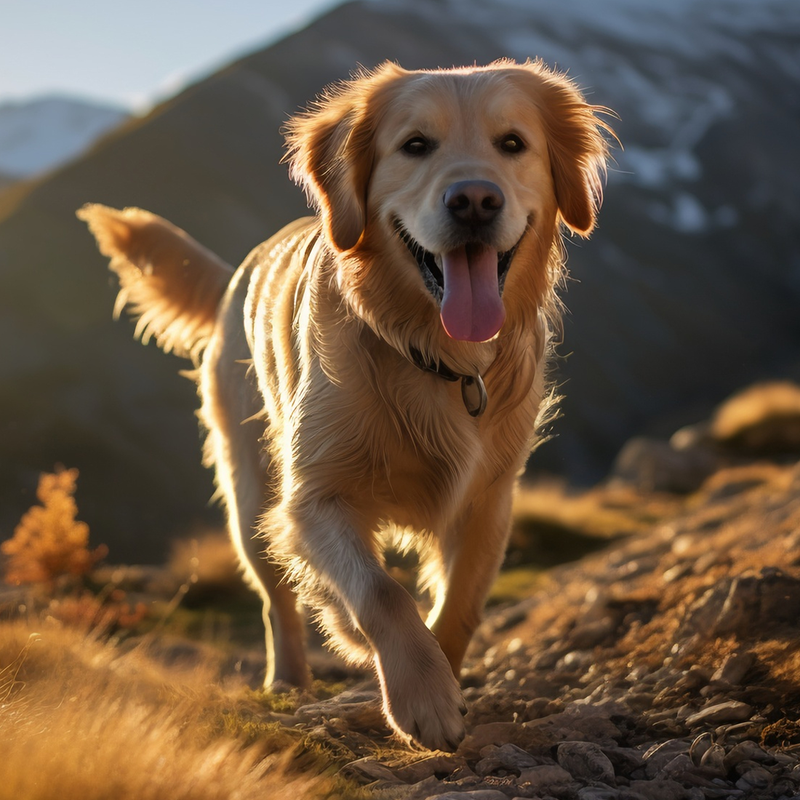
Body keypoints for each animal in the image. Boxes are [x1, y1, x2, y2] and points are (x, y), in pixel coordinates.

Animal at [78, 61, 608, 752]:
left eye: (512, 143)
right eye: (416, 145)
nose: (474, 200)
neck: (433, 355)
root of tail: (235, 274)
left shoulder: (489, 500)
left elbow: (460, 606)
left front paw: (441, 677)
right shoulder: (314, 498)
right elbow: (380, 592)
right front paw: (419, 695)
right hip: (250, 493)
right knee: (277, 599)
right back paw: (290, 679)